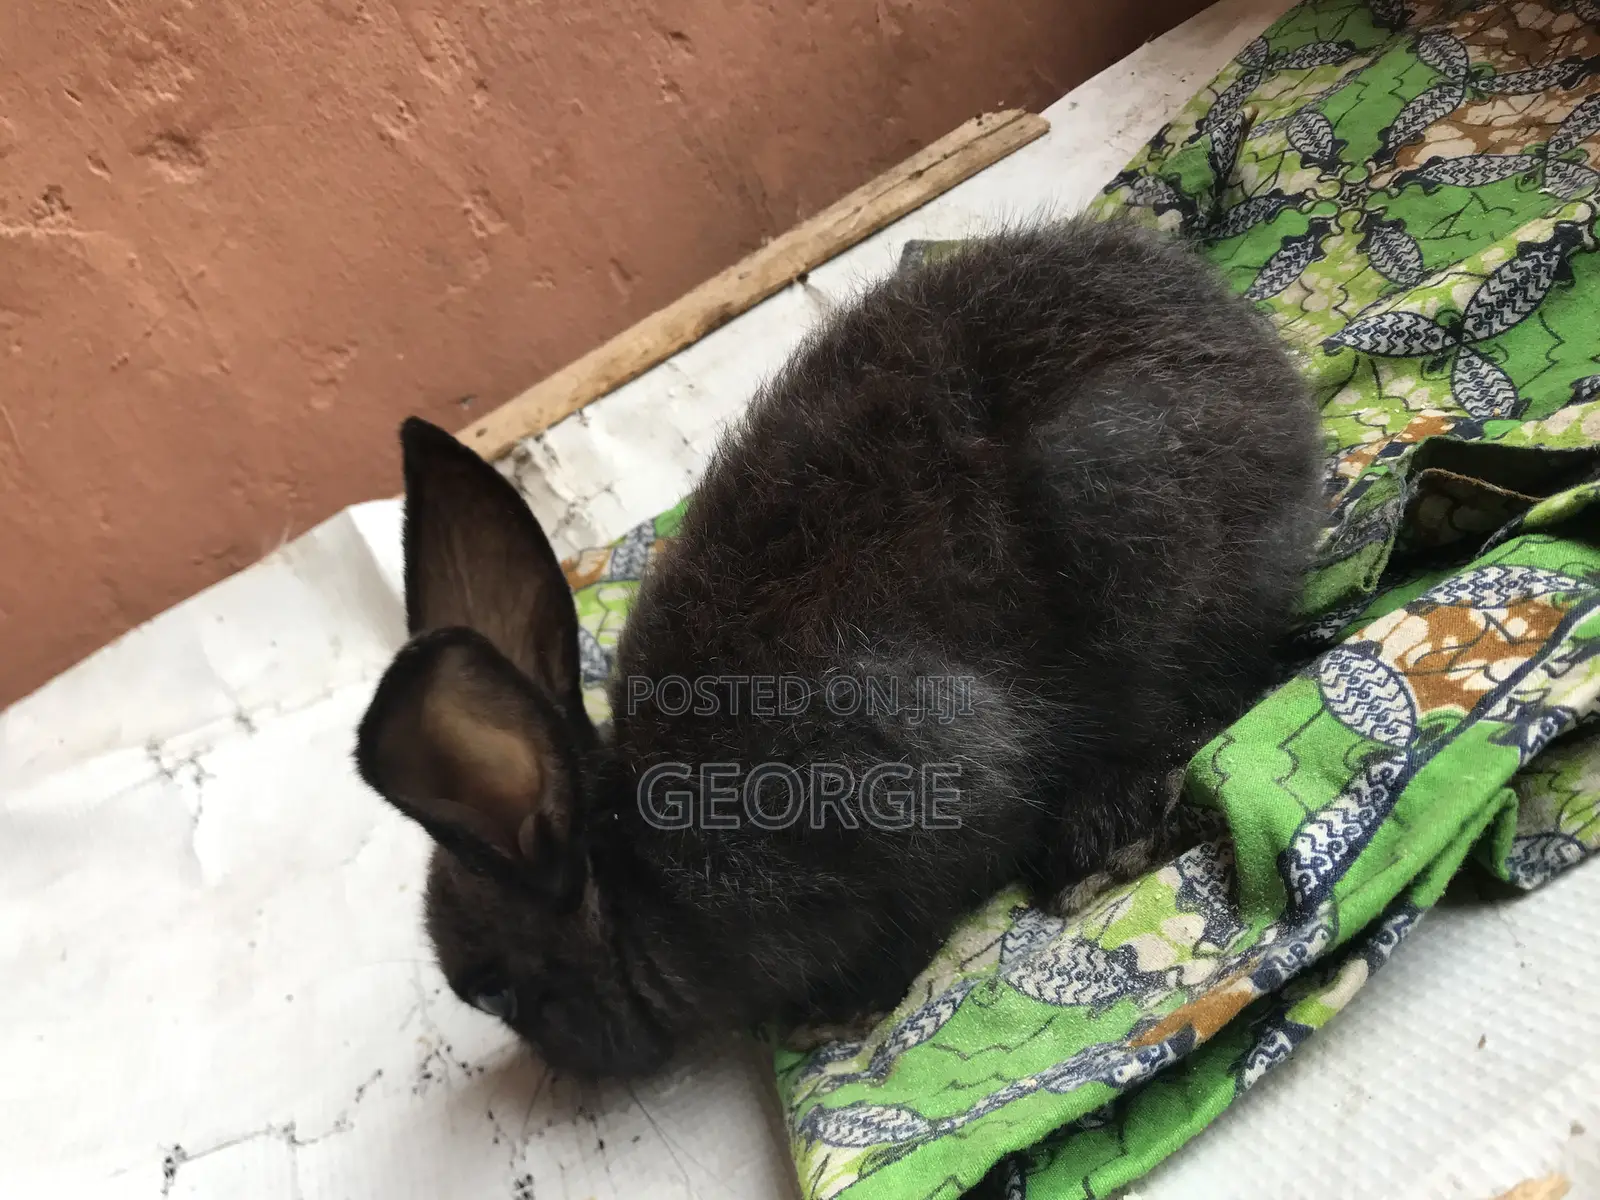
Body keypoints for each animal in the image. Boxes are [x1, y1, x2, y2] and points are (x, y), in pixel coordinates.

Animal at [354, 216, 1325, 1080]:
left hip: (1118, 512)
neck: (629, 873)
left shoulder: (896, 787)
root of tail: (1269, 377)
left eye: (494, 994)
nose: (558, 1066)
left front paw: (833, 1018)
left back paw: (1102, 845)